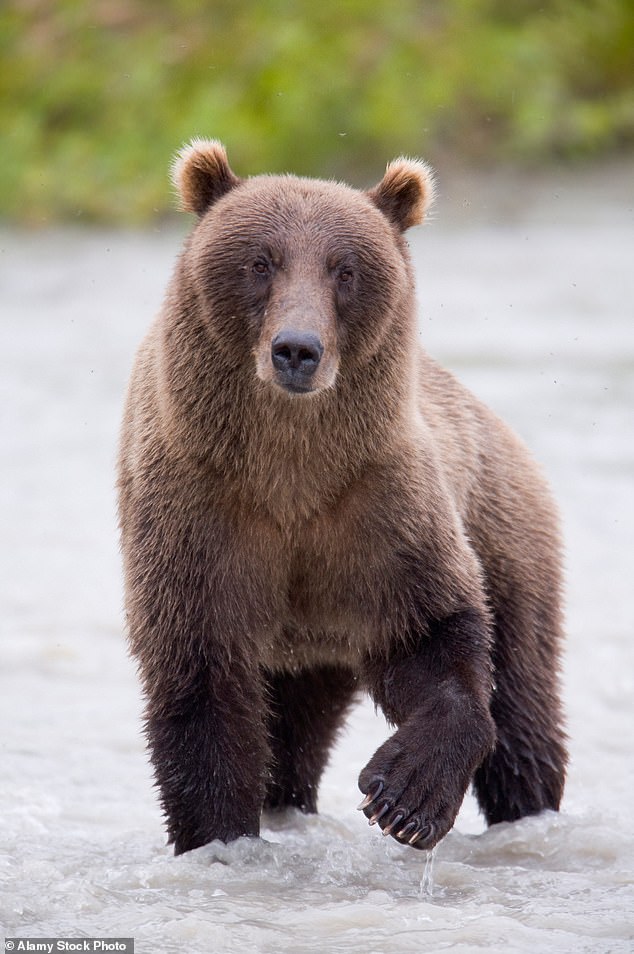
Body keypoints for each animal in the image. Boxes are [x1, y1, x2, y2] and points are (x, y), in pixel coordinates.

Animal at [118, 139, 567, 856]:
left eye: (345, 270)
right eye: (260, 262)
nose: (297, 349)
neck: (289, 475)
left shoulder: (378, 504)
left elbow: (435, 631)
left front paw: (406, 795)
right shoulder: (199, 509)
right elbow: (202, 689)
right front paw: (220, 836)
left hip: (505, 536)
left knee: (522, 703)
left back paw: (528, 808)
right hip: (309, 655)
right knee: (292, 737)